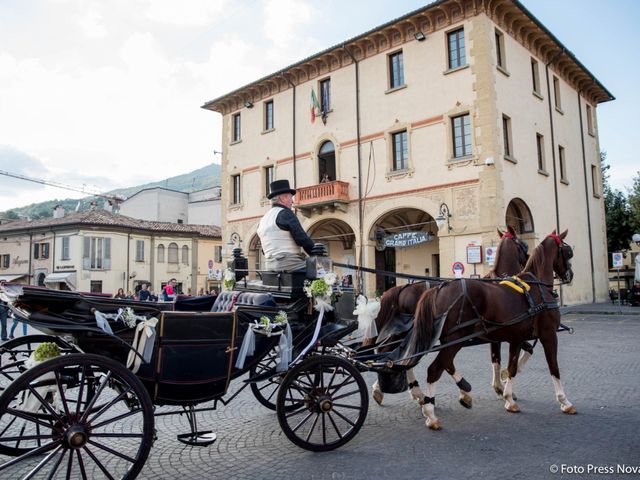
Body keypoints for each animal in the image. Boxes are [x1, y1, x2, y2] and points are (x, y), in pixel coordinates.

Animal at [368, 227, 528, 406]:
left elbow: (498, 358)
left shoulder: (498, 333)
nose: (528, 259)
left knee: (395, 354)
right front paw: (504, 385)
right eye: (523, 245)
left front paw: (502, 385)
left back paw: (386, 387)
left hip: (404, 331)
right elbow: (517, 352)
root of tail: (403, 288)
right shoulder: (505, 331)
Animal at [410, 231, 576, 430]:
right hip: (457, 338)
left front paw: (508, 397)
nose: (570, 274)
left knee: (443, 364)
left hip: (450, 340)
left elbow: (511, 366)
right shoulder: (548, 335)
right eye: (568, 252)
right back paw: (431, 413)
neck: (537, 287)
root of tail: (440, 288)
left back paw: (456, 394)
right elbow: (554, 368)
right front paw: (564, 401)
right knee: (434, 369)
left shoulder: (515, 338)